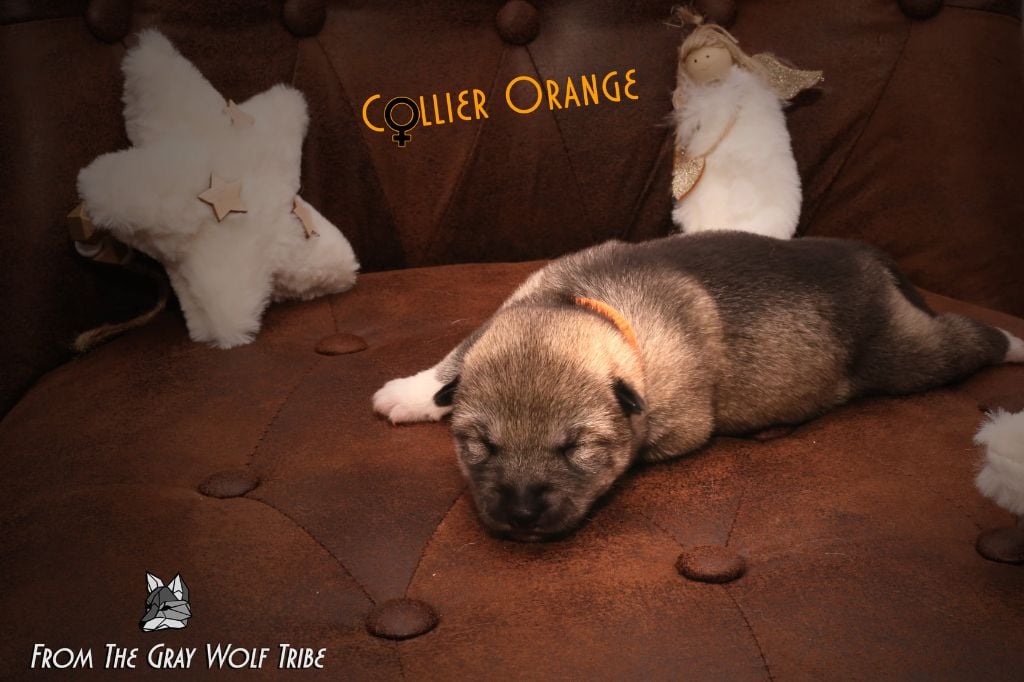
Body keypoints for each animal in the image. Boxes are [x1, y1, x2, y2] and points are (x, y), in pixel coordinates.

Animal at [374, 232, 1024, 541]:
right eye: (481, 446)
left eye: (575, 448)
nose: (522, 514)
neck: (588, 302)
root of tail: (863, 256)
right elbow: (459, 354)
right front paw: (414, 390)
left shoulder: (676, 422)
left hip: (906, 356)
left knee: (968, 341)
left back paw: (1017, 341)